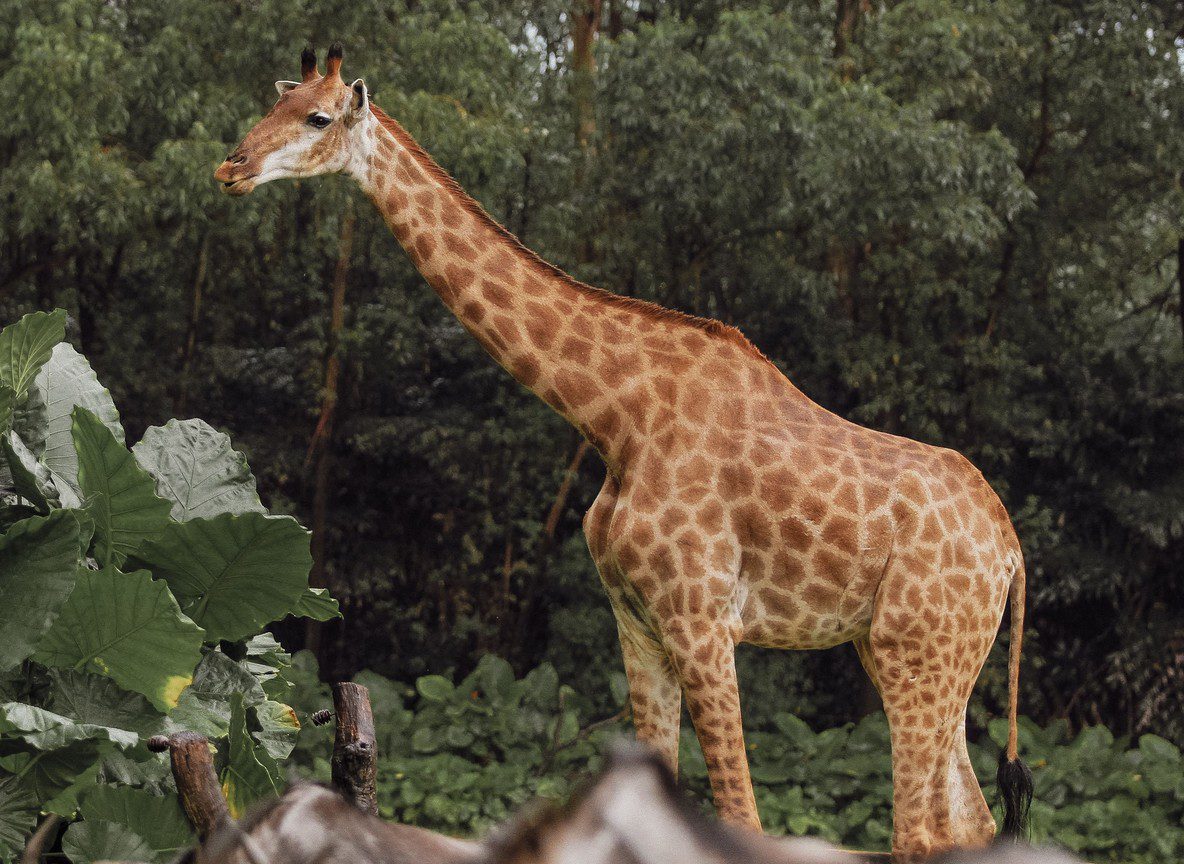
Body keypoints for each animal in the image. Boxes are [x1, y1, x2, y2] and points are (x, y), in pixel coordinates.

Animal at [214, 44, 1033, 861]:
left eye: (319, 118)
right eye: (274, 104)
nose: (230, 166)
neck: (615, 421)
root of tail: (1010, 550)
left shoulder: (702, 622)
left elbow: (741, 817)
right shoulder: (636, 623)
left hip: (915, 650)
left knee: (921, 828)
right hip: (917, 652)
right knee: (971, 821)